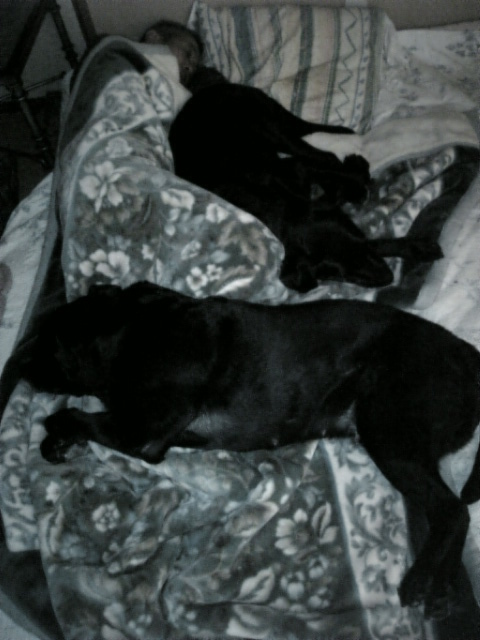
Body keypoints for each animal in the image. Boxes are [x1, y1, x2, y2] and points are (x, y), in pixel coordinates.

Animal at [18, 281, 480, 618]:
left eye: (47, 341)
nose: (20, 365)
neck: (132, 331)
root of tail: (464, 352)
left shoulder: (142, 430)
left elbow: (76, 415)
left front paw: (54, 431)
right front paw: (57, 442)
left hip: (388, 433)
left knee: (453, 509)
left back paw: (420, 582)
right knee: (451, 513)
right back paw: (443, 591)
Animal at [169, 67, 442, 292]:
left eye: (362, 244)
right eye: (339, 275)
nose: (387, 277)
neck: (283, 205)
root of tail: (210, 89)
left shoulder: (299, 169)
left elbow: (330, 172)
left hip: (274, 130)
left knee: (324, 155)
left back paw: (355, 173)